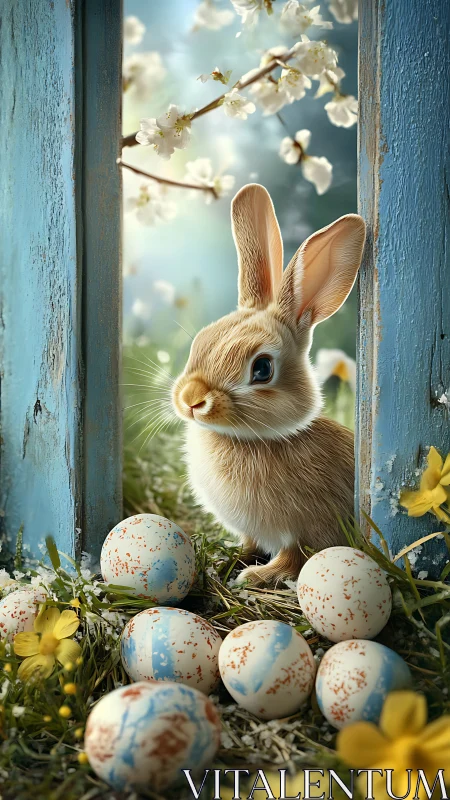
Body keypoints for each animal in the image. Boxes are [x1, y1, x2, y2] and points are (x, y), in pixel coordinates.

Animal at [172, 184, 366, 586]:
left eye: (262, 369)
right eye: (201, 342)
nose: (191, 400)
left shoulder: (309, 527)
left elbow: (295, 559)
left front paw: (255, 577)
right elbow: (249, 543)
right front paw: (228, 560)